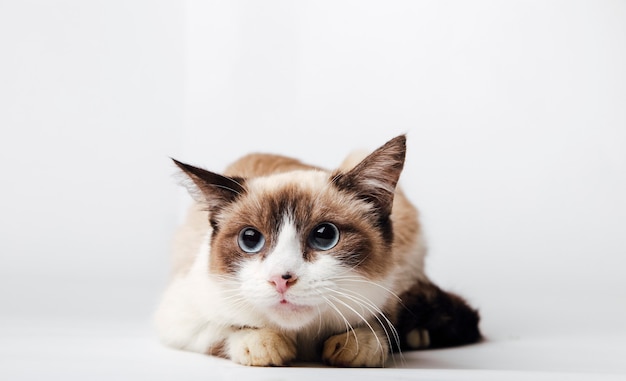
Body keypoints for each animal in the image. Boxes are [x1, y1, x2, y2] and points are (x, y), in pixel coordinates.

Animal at [155, 135, 478, 366]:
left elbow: (379, 330)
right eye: (250, 239)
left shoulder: (388, 294)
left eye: (325, 236)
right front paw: (265, 344)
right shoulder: (178, 315)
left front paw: (354, 345)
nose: (281, 279)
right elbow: (225, 331)